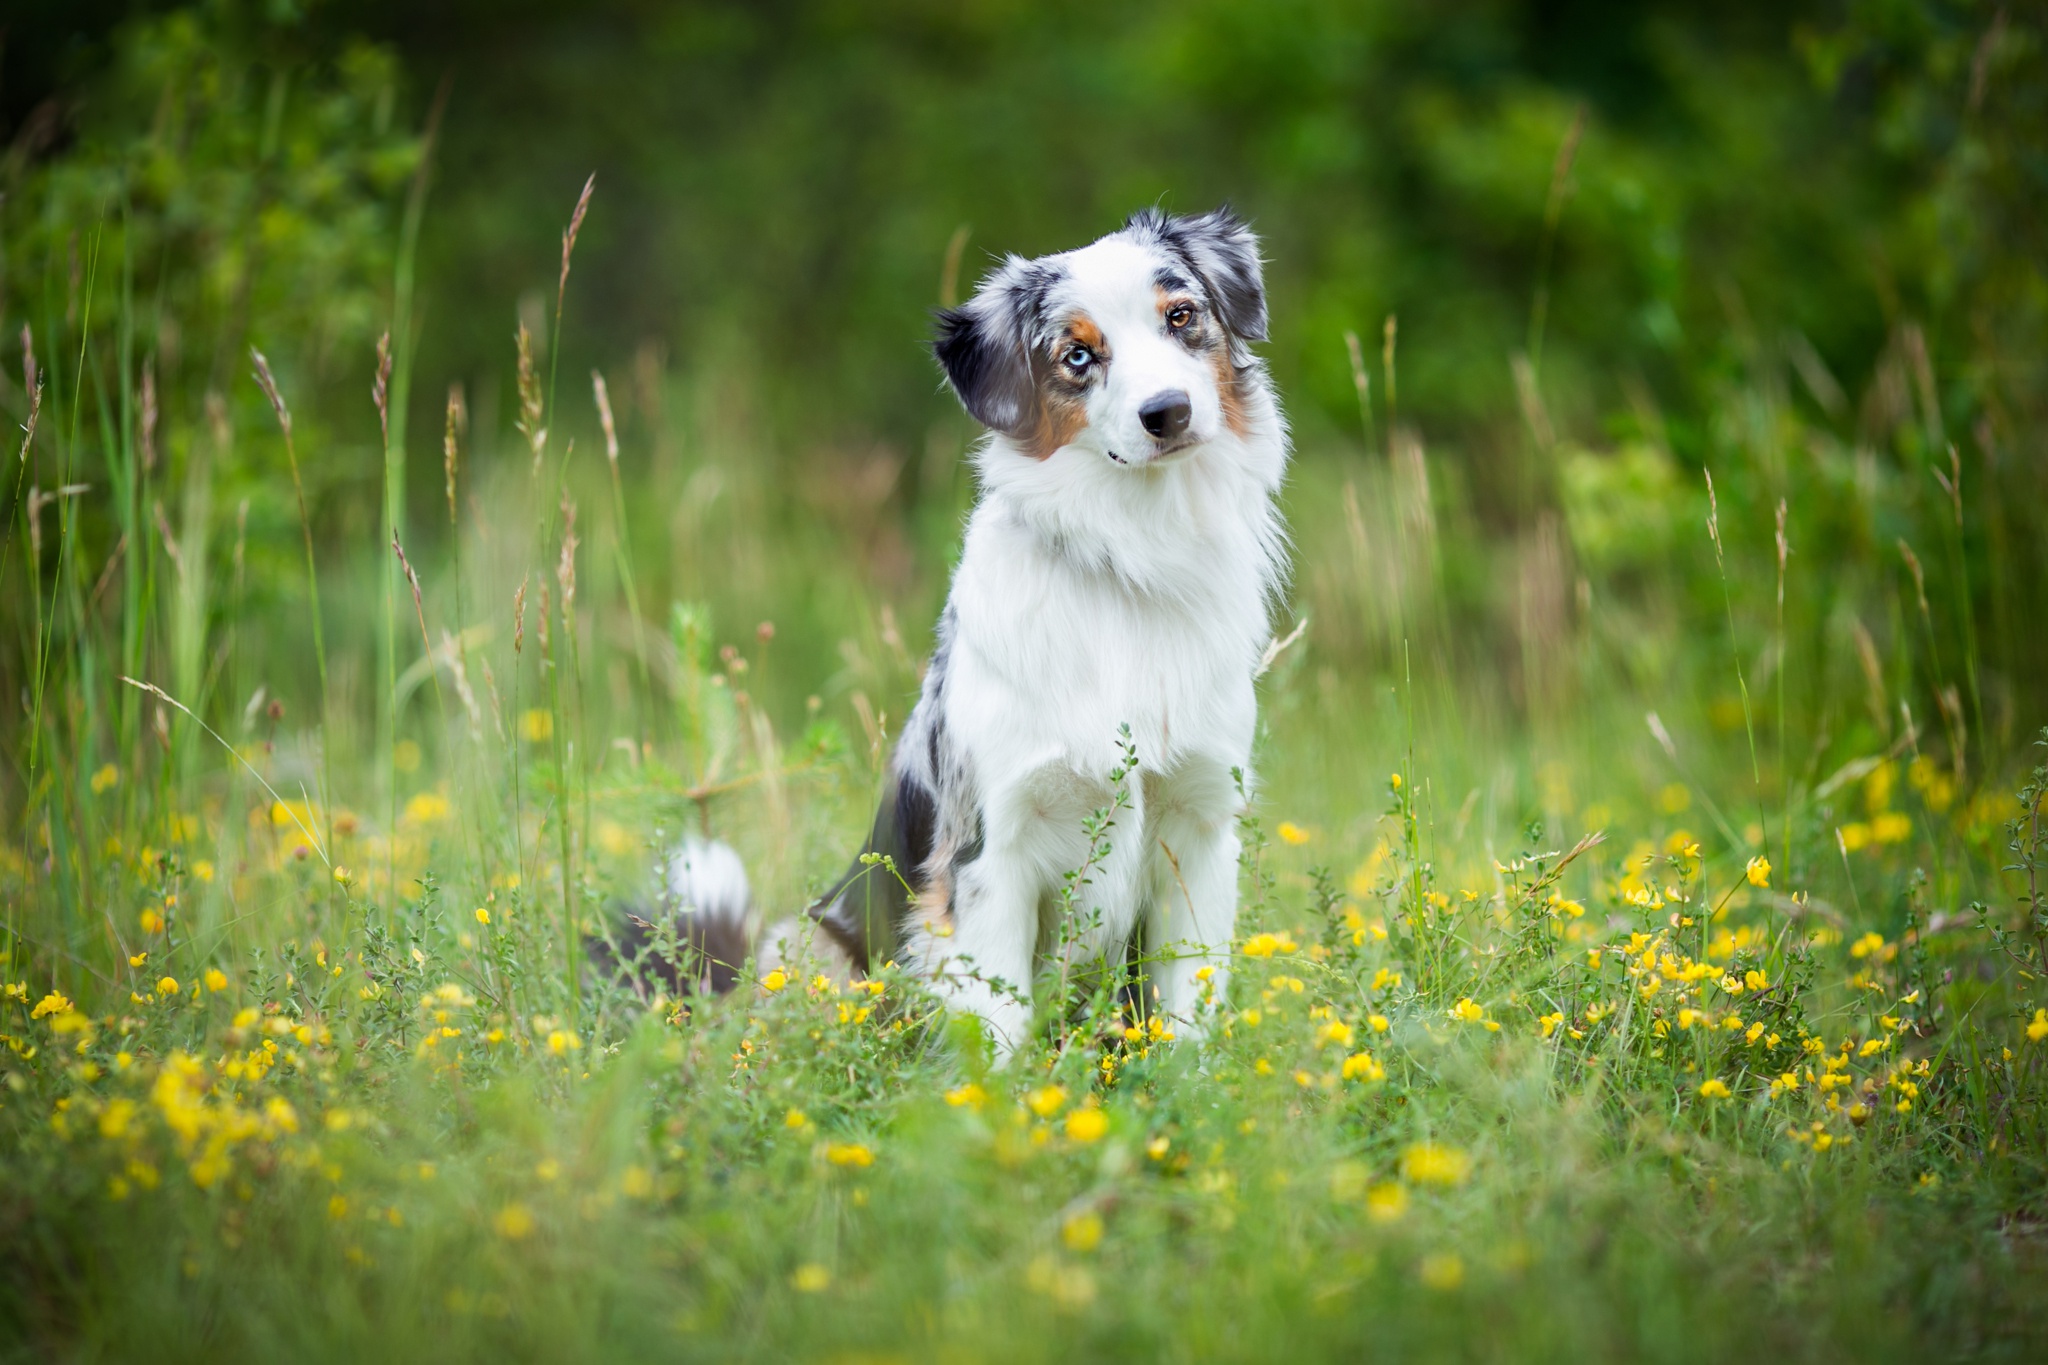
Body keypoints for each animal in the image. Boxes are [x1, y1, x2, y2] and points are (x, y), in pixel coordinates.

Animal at [614, 208, 1286, 1064]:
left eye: (1182, 316)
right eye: (1077, 356)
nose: (1167, 412)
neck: (1129, 559)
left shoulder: (1198, 830)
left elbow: (1184, 1010)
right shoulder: (988, 853)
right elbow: (997, 1028)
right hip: (809, 945)